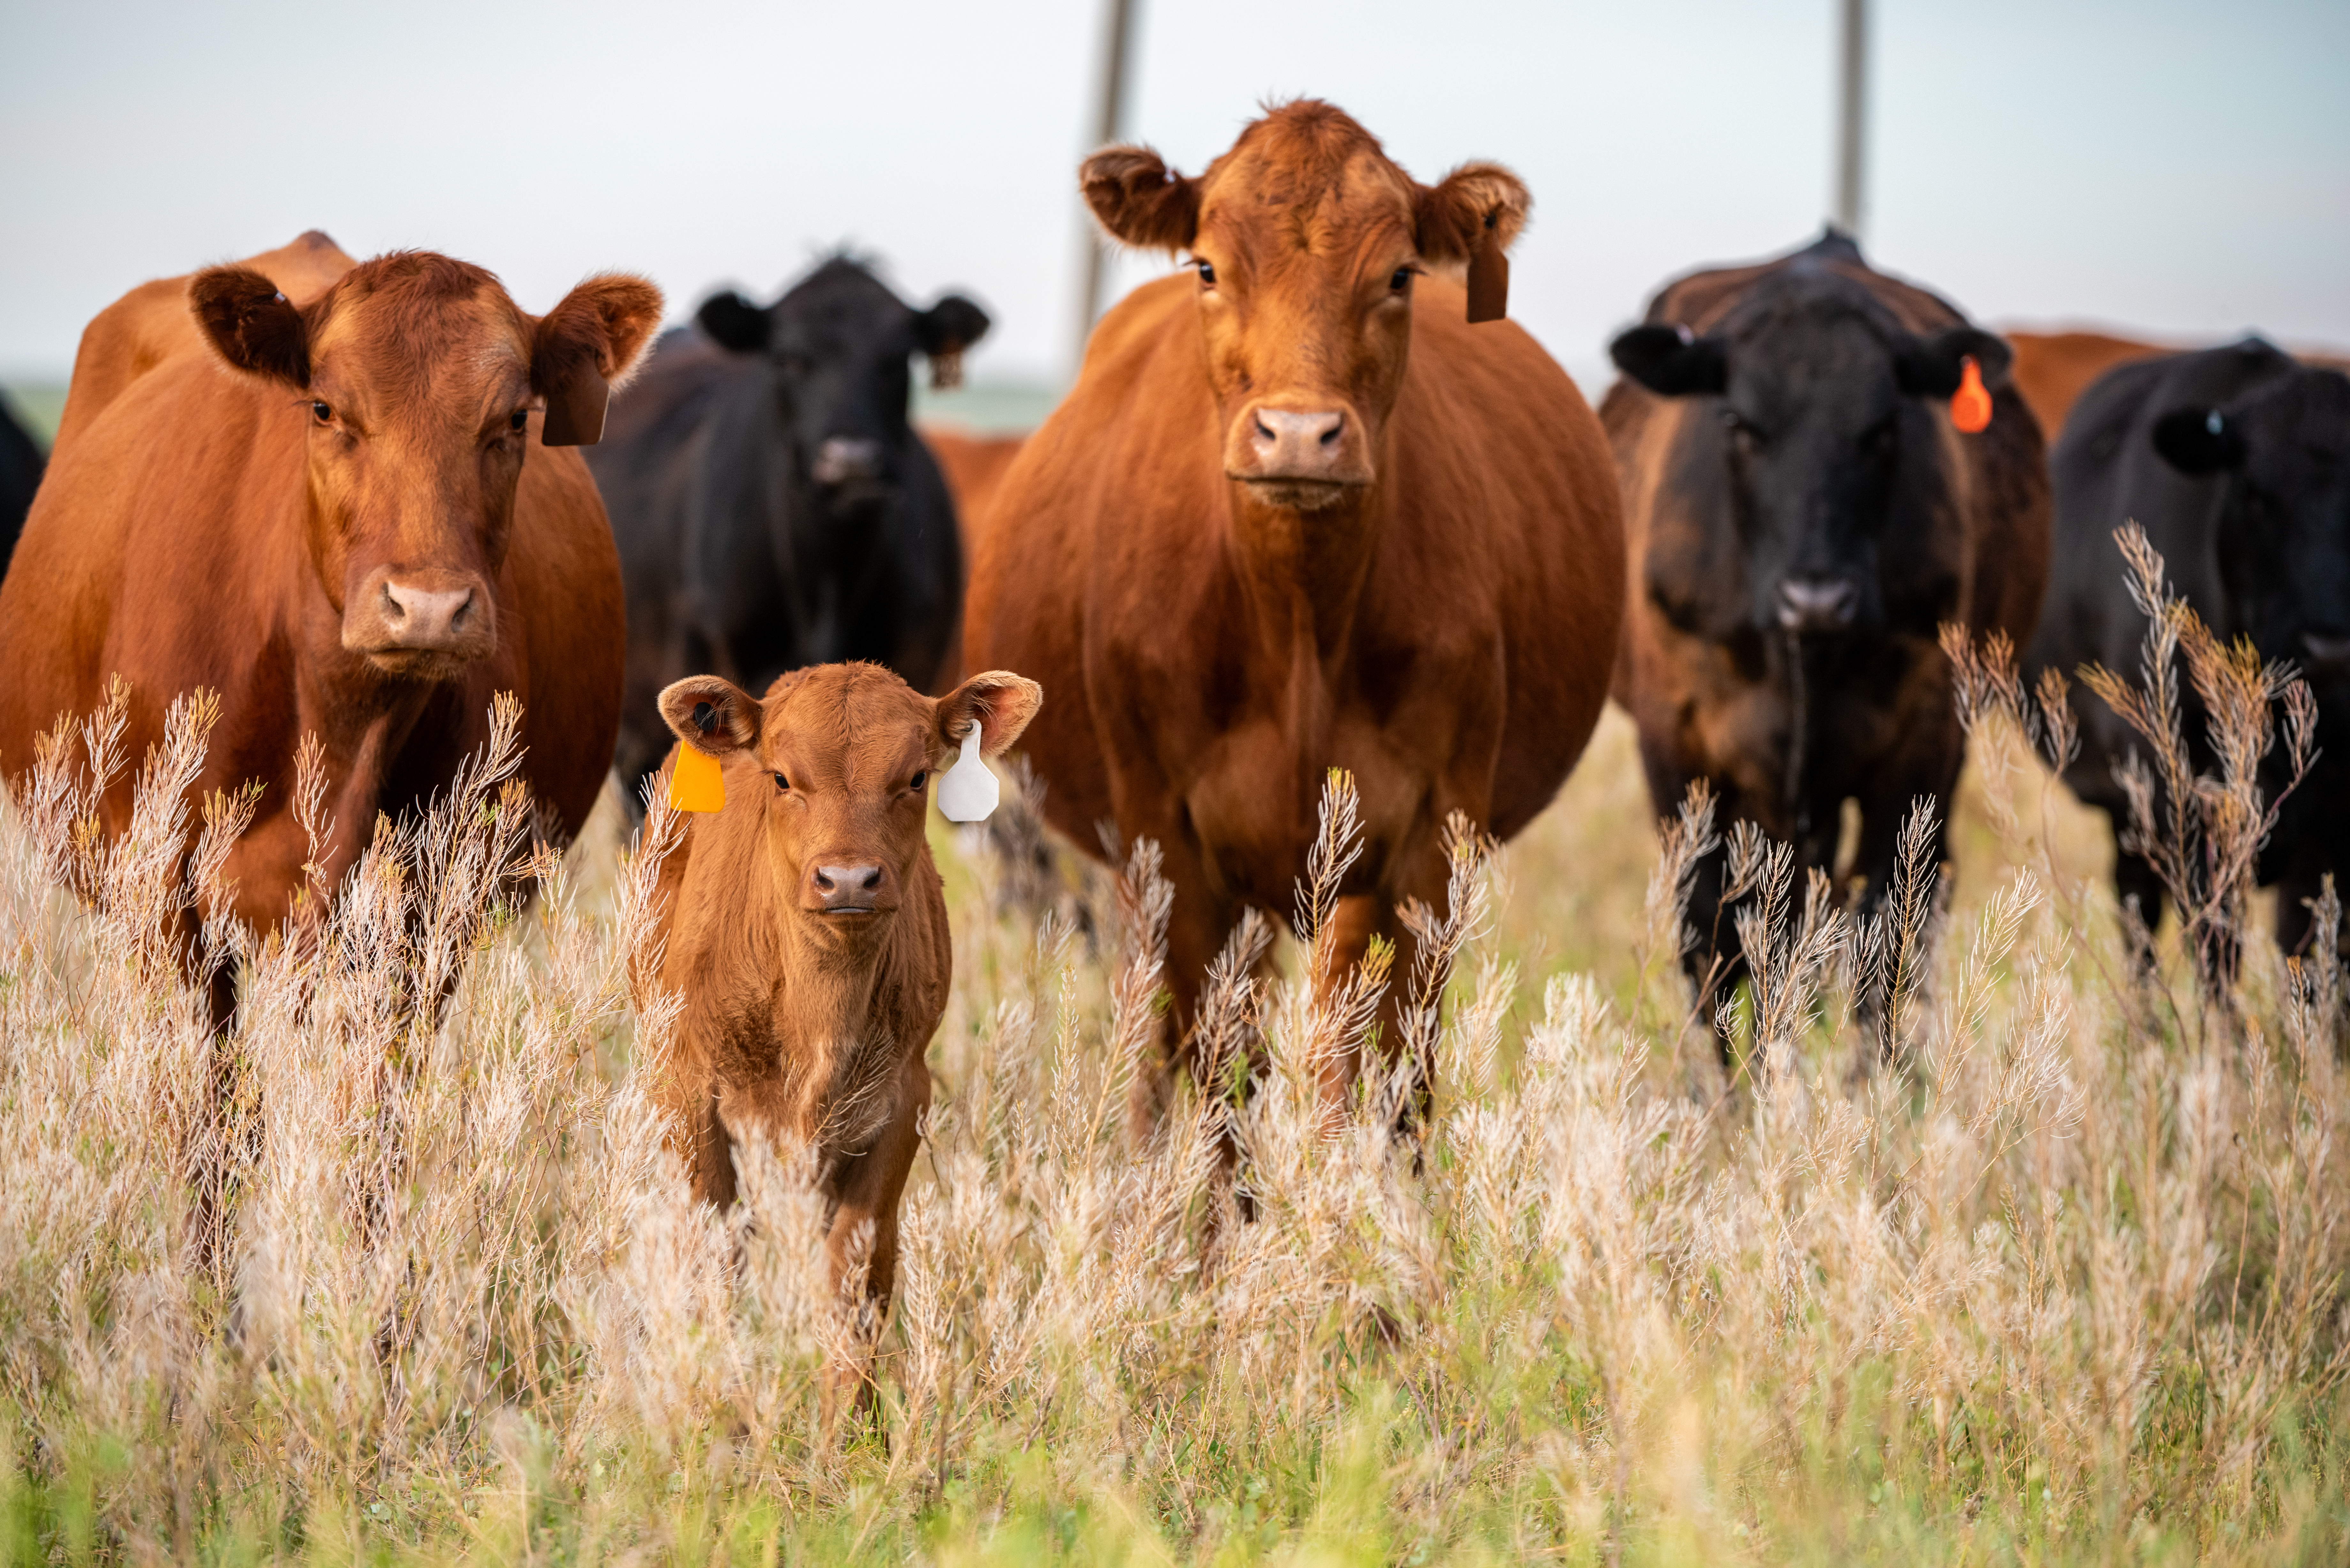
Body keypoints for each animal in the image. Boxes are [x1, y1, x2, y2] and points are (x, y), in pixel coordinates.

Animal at [0, 233, 659, 1022]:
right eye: (323, 408)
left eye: (514, 421)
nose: (428, 607)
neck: (337, 725)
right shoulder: (161, 900)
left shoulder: (430, 917)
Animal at [642, 660, 1041, 1408]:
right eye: (781, 777)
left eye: (915, 777)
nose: (848, 879)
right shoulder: (692, 1096)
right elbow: (713, 1264)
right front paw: (720, 1415)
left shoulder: (902, 1103)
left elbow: (856, 1280)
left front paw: (851, 1427)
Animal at [960, 99, 1626, 1110]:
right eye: (1206, 266)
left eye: (1398, 273)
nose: (1301, 435)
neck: (1300, 624)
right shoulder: (1169, 843)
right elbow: (1210, 1072)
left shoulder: (1425, 842)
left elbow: (1385, 1075)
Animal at [1604, 230, 2050, 1007]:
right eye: (1738, 423)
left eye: (1883, 428)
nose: (1816, 598)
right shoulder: (1674, 745)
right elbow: (1711, 938)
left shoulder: (1920, 747)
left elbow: (1888, 935)